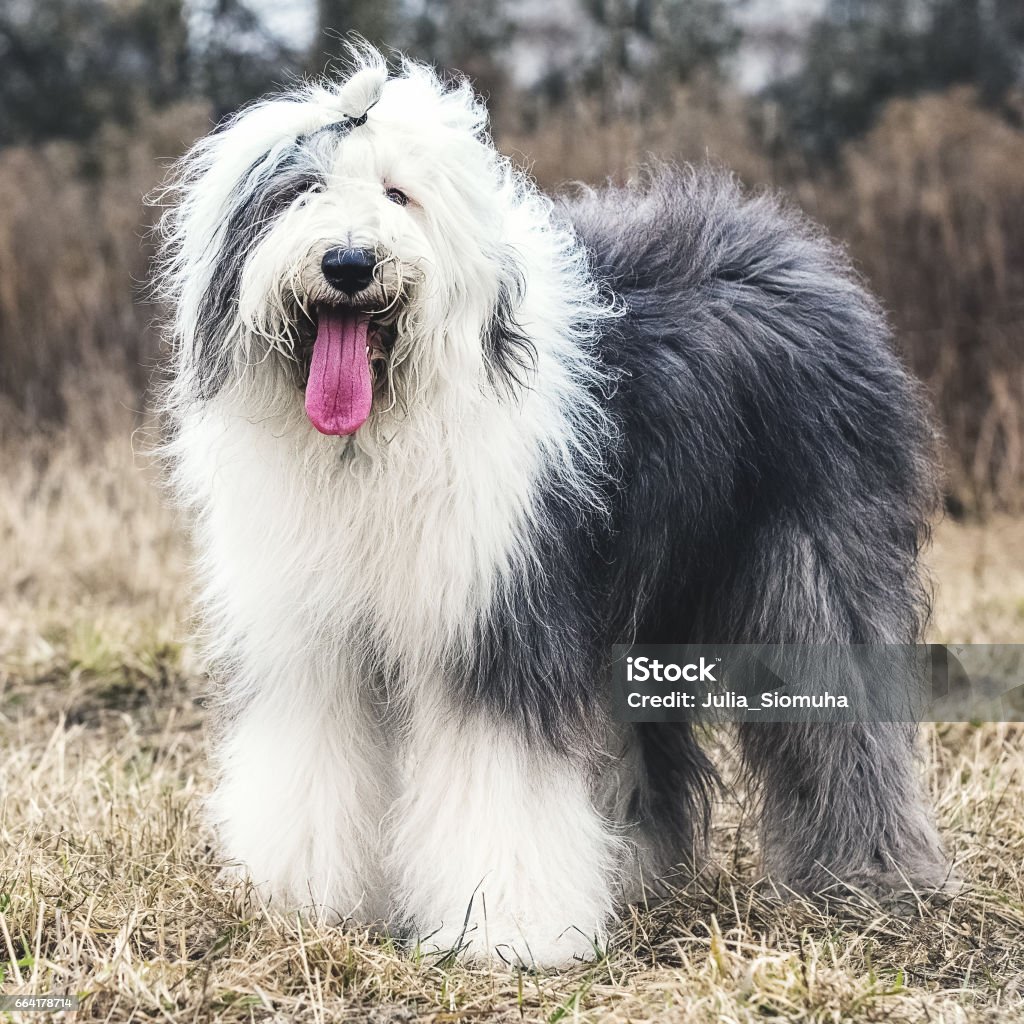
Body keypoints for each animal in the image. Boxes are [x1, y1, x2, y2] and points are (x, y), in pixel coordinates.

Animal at [155, 41, 946, 966]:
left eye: (398, 194)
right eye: (301, 191)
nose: (349, 264)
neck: (375, 434)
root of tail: (797, 250)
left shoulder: (498, 613)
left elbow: (500, 777)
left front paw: (506, 931)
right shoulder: (313, 636)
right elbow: (311, 759)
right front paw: (305, 902)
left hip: (811, 563)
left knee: (843, 715)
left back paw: (871, 879)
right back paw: (634, 870)